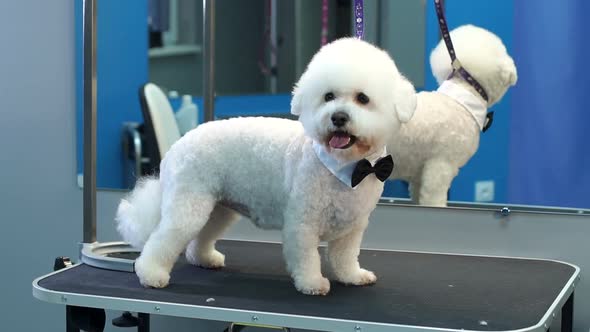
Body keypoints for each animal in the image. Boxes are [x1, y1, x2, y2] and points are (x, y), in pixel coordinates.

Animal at [118, 38, 418, 296]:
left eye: (363, 99)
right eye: (328, 96)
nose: (339, 117)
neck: (347, 167)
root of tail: (175, 147)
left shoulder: (353, 225)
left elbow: (345, 256)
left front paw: (353, 277)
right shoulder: (303, 223)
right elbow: (307, 257)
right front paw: (312, 283)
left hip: (218, 208)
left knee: (199, 239)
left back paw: (204, 258)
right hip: (188, 204)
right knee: (163, 239)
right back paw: (151, 274)